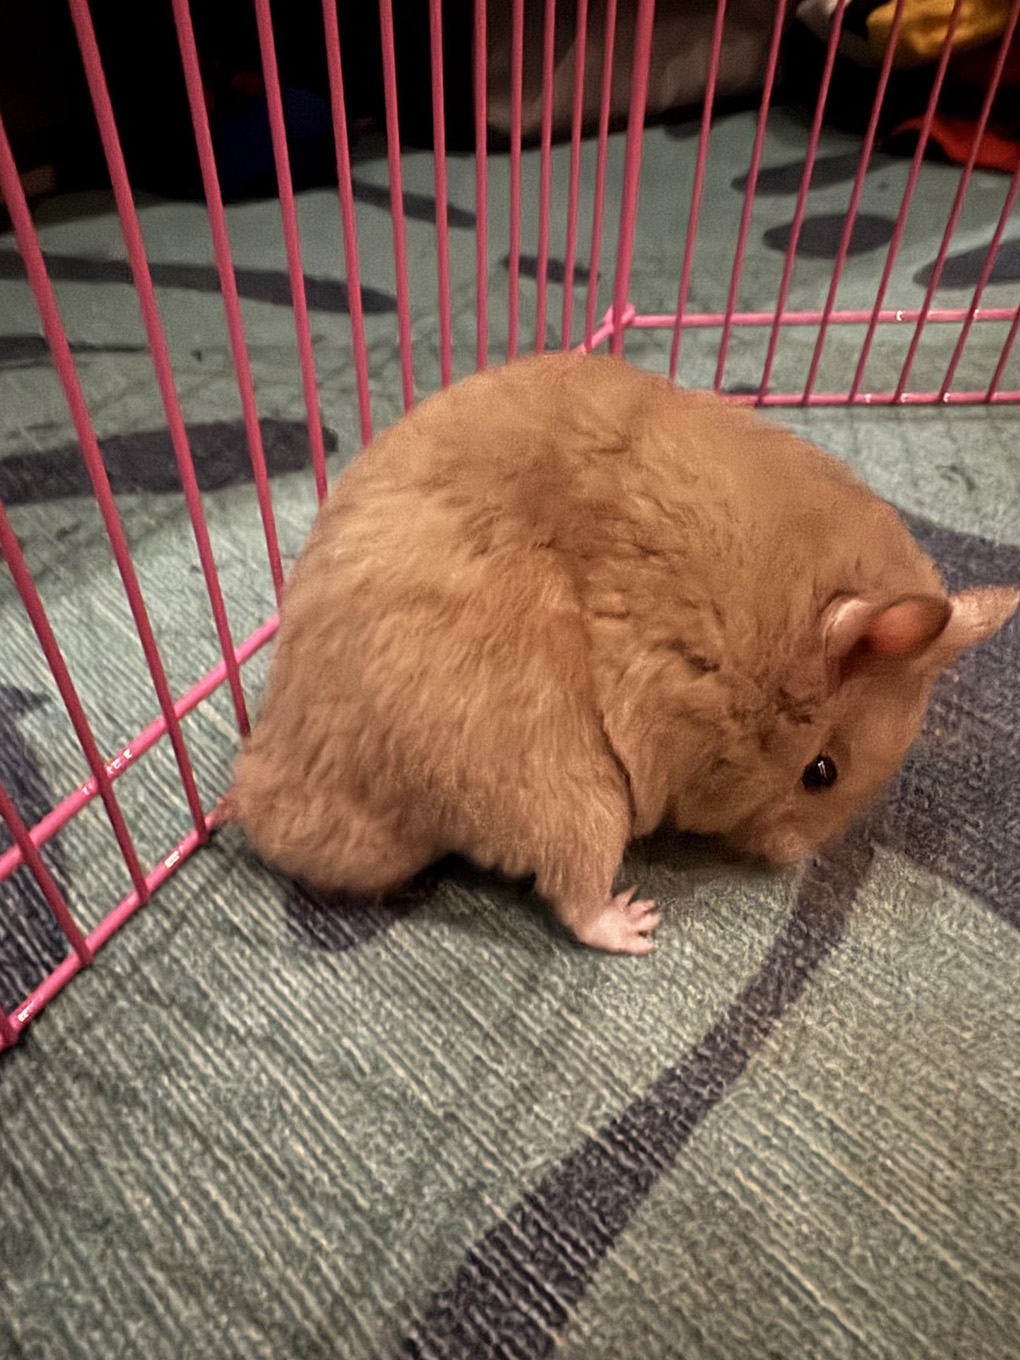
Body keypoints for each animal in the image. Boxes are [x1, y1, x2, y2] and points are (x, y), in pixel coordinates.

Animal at [231, 353, 1019, 954]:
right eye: (820, 773)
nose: (789, 861)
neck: (752, 628)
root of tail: (269, 794)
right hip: (572, 784)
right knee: (572, 894)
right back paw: (637, 923)